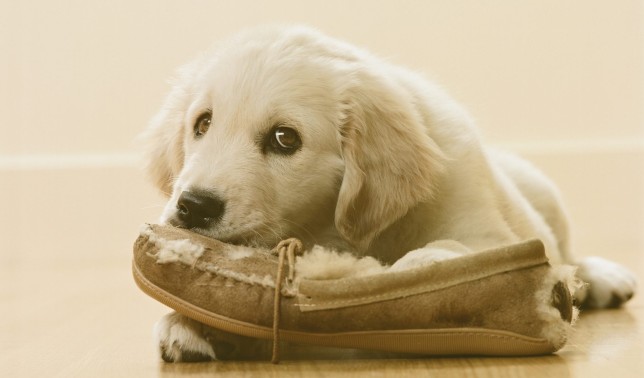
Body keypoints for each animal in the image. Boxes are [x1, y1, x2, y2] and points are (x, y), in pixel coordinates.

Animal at [140, 25, 632, 362]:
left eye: (284, 138)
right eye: (202, 123)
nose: (193, 206)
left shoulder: (489, 232)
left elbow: (464, 253)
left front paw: (421, 269)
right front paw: (191, 321)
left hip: (545, 195)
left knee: (568, 254)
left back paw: (602, 279)